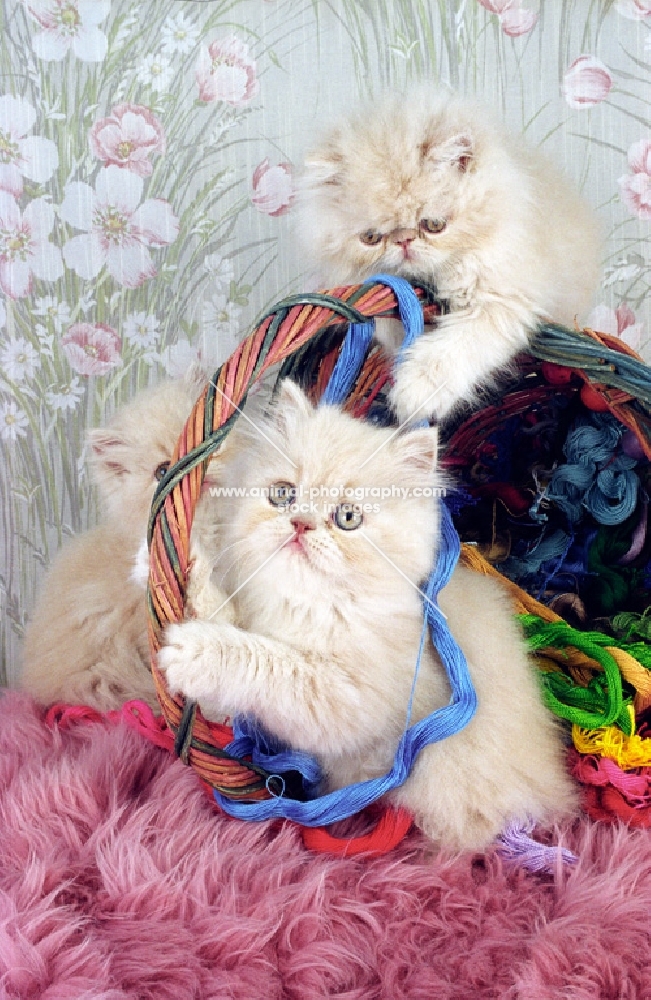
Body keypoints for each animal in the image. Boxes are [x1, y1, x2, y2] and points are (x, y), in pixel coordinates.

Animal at [158, 382, 576, 852]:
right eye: (283, 494)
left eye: (348, 517)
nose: (300, 525)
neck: (307, 604)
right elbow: (222, 621)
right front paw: (182, 562)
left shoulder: (348, 702)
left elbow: (273, 664)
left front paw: (193, 652)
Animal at [298, 88, 604, 424]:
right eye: (371, 238)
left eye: (433, 225)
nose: (403, 241)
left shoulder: (499, 297)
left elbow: (453, 348)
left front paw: (415, 392)